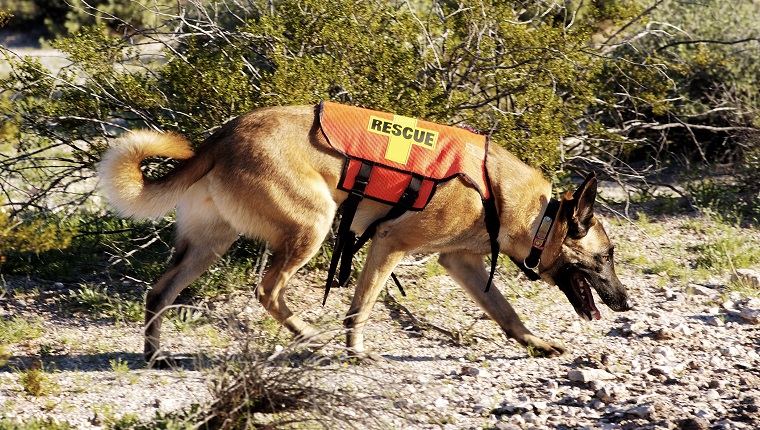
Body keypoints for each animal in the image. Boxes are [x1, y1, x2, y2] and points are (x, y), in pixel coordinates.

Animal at [98, 104, 632, 366]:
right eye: (606, 257)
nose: (626, 304)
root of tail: (223, 136)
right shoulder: (389, 246)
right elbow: (360, 309)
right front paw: (355, 352)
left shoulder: (461, 264)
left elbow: (507, 313)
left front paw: (536, 345)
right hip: (312, 226)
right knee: (268, 291)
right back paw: (311, 337)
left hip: (208, 245)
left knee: (159, 293)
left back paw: (155, 355)